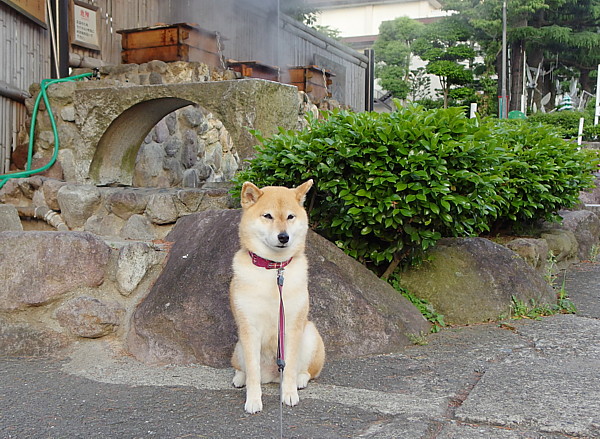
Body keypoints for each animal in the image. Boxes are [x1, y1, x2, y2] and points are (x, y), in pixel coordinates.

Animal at [230, 180, 326, 414]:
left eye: (290, 216)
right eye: (268, 216)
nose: (284, 237)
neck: (273, 269)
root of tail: (272, 376)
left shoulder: (291, 326)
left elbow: (290, 367)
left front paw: (289, 395)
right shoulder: (249, 327)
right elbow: (253, 371)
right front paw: (253, 400)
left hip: (310, 334)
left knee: (306, 371)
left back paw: (299, 381)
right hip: (238, 345)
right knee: (243, 368)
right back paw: (240, 378)